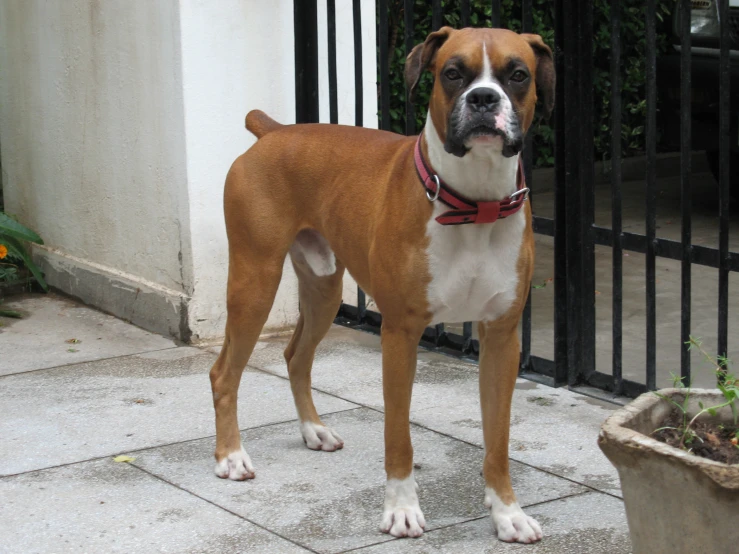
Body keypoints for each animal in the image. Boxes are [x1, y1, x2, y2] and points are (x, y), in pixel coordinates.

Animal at [208, 27, 556, 544]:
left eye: (518, 75)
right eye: (452, 73)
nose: (484, 98)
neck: (474, 204)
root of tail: (274, 130)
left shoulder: (501, 340)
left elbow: (498, 439)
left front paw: (507, 512)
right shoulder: (400, 335)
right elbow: (399, 437)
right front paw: (402, 510)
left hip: (323, 290)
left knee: (295, 357)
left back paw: (314, 430)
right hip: (255, 283)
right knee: (224, 372)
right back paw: (231, 456)